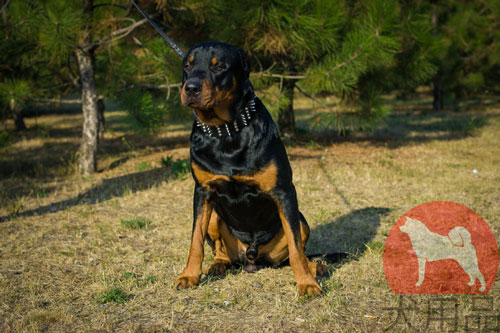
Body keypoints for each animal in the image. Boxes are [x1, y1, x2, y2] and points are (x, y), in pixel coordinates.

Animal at [176, 42, 328, 294]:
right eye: (187, 66)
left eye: (219, 67)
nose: (191, 88)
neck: (226, 131)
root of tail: (251, 256)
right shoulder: (203, 191)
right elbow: (195, 239)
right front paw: (189, 275)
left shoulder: (284, 192)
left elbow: (296, 247)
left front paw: (306, 282)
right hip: (216, 216)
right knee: (220, 249)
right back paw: (218, 264)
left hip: (301, 220)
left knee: (297, 249)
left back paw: (316, 267)